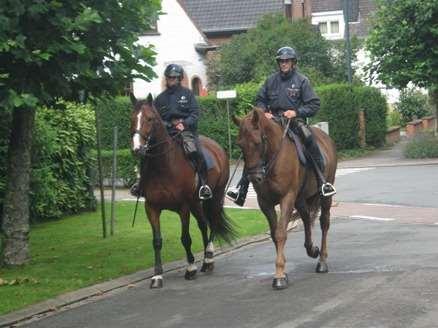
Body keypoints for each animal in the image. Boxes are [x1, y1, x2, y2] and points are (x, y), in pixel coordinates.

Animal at [129, 93, 234, 288]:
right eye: (132, 119)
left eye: (150, 118)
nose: (137, 149)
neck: (163, 167)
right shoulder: (151, 208)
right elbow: (157, 241)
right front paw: (157, 275)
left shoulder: (183, 207)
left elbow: (185, 238)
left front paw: (190, 268)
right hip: (196, 203)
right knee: (203, 224)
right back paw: (206, 261)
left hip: (214, 197)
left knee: (212, 221)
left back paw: (208, 258)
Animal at [233, 108, 338, 290]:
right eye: (240, 145)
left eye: (257, 142)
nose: (254, 178)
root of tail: (326, 138)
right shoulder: (265, 203)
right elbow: (274, 234)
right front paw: (282, 271)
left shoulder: (287, 198)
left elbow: (281, 232)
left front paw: (279, 277)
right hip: (301, 198)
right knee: (306, 218)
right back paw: (311, 249)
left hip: (324, 197)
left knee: (324, 223)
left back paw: (322, 261)